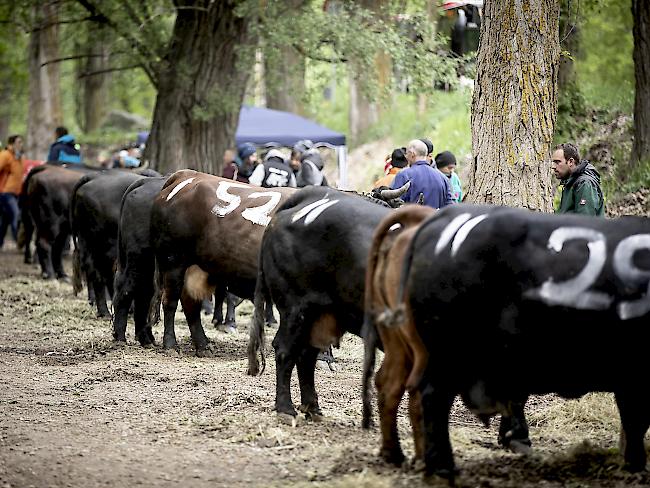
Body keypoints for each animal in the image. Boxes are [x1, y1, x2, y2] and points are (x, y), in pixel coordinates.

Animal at [149, 170, 294, 356]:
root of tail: (188, 175)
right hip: (174, 260)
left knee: (190, 304)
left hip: (195, 266)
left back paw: (203, 345)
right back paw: (170, 344)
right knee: (171, 301)